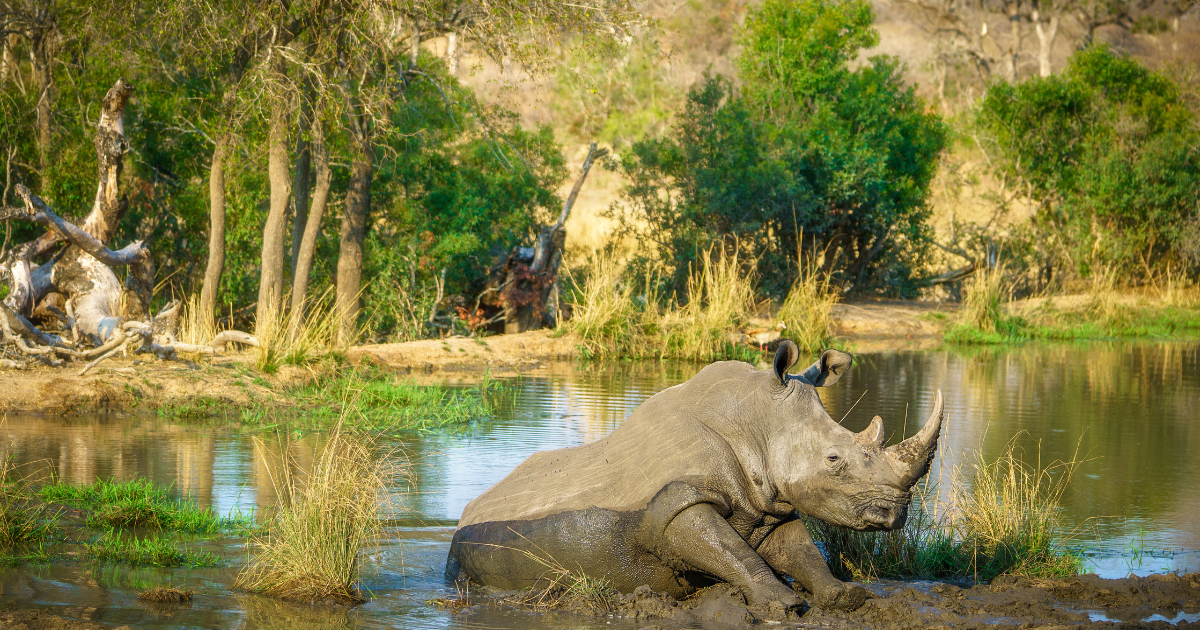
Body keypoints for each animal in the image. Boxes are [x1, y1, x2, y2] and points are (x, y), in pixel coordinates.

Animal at [445, 341, 944, 611]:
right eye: (834, 459)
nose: (895, 515)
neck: (756, 422)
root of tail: (466, 511)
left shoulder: (769, 503)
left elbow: (798, 549)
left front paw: (844, 598)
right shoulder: (677, 501)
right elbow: (729, 549)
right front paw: (783, 605)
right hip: (469, 540)